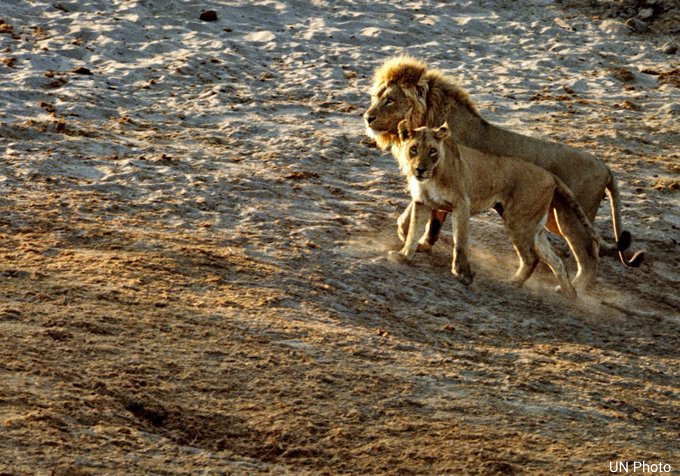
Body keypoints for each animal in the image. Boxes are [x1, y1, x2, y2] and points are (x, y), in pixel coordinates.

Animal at [364, 55, 644, 271]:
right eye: (377, 96)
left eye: (389, 100)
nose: (367, 117)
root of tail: (605, 167)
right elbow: (428, 217)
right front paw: (420, 243)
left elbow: (418, 215)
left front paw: (409, 237)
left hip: (570, 218)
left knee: (589, 256)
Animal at [389, 120, 602, 298]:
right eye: (414, 149)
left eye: (432, 151)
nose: (420, 169)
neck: (431, 178)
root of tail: (550, 175)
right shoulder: (422, 203)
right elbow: (413, 233)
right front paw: (403, 256)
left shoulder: (462, 204)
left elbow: (460, 243)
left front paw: (462, 274)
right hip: (534, 227)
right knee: (556, 260)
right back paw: (569, 293)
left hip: (517, 221)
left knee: (532, 258)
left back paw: (511, 283)